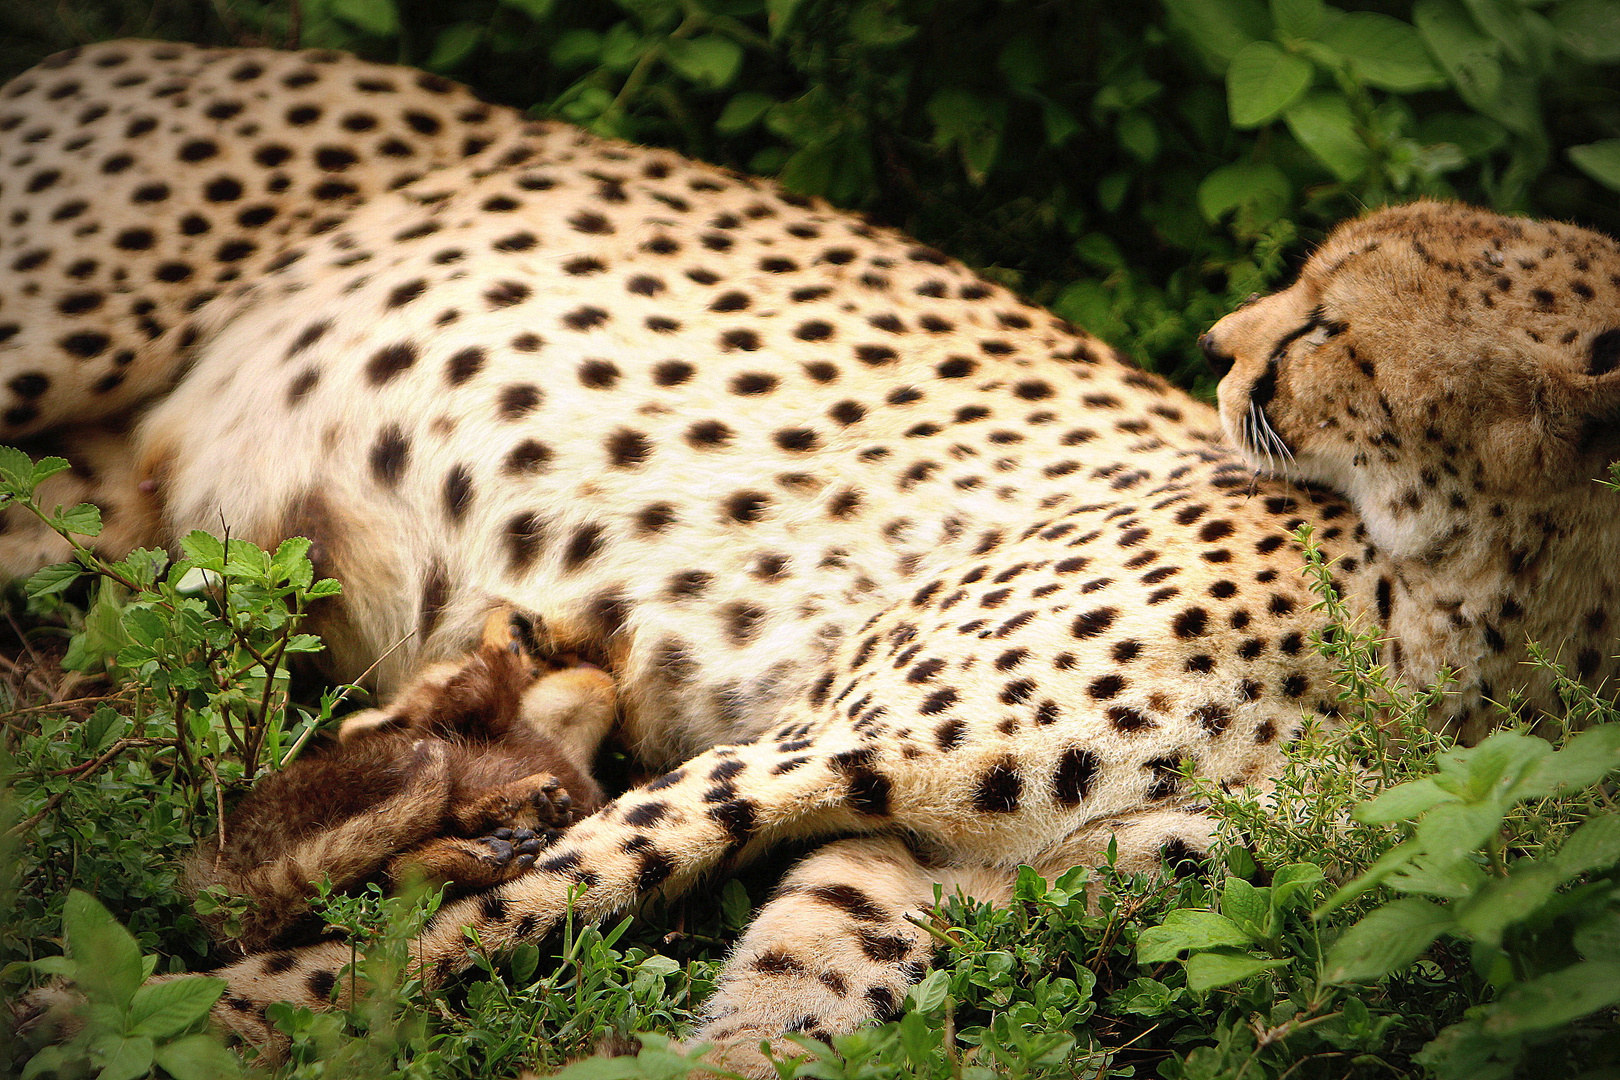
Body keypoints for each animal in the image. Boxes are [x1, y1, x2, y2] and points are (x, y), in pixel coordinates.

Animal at [3, 40, 1620, 1075]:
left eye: (1333, 323)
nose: (1221, 346)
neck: (1462, 621)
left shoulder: (967, 872)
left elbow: (798, 987)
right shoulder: (810, 743)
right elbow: (484, 915)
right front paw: (139, 1019)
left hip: (88, 514)